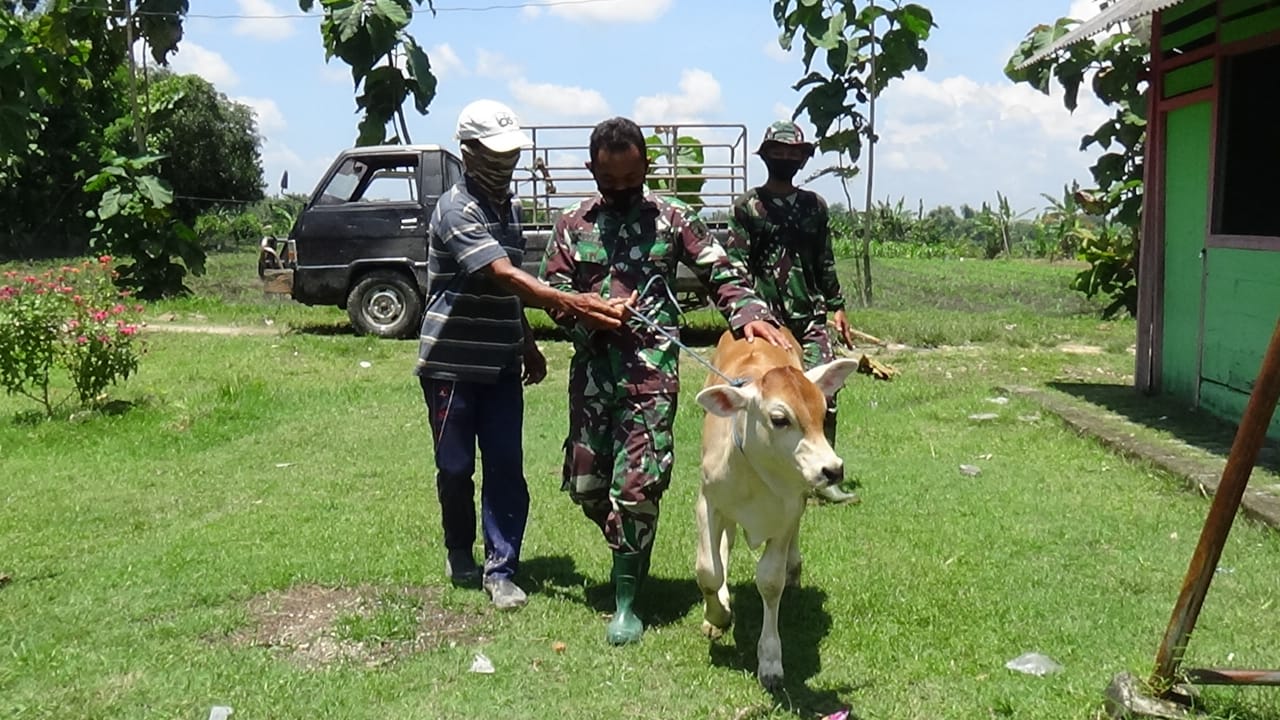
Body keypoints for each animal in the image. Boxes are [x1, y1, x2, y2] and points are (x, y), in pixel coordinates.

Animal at [696, 327, 855, 686]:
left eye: (822, 412)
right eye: (779, 418)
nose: (833, 469)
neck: (756, 470)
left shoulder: (787, 513)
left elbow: (770, 581)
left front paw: (770, 660)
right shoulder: (708, 502)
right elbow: (709, 569)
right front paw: (718, 615)